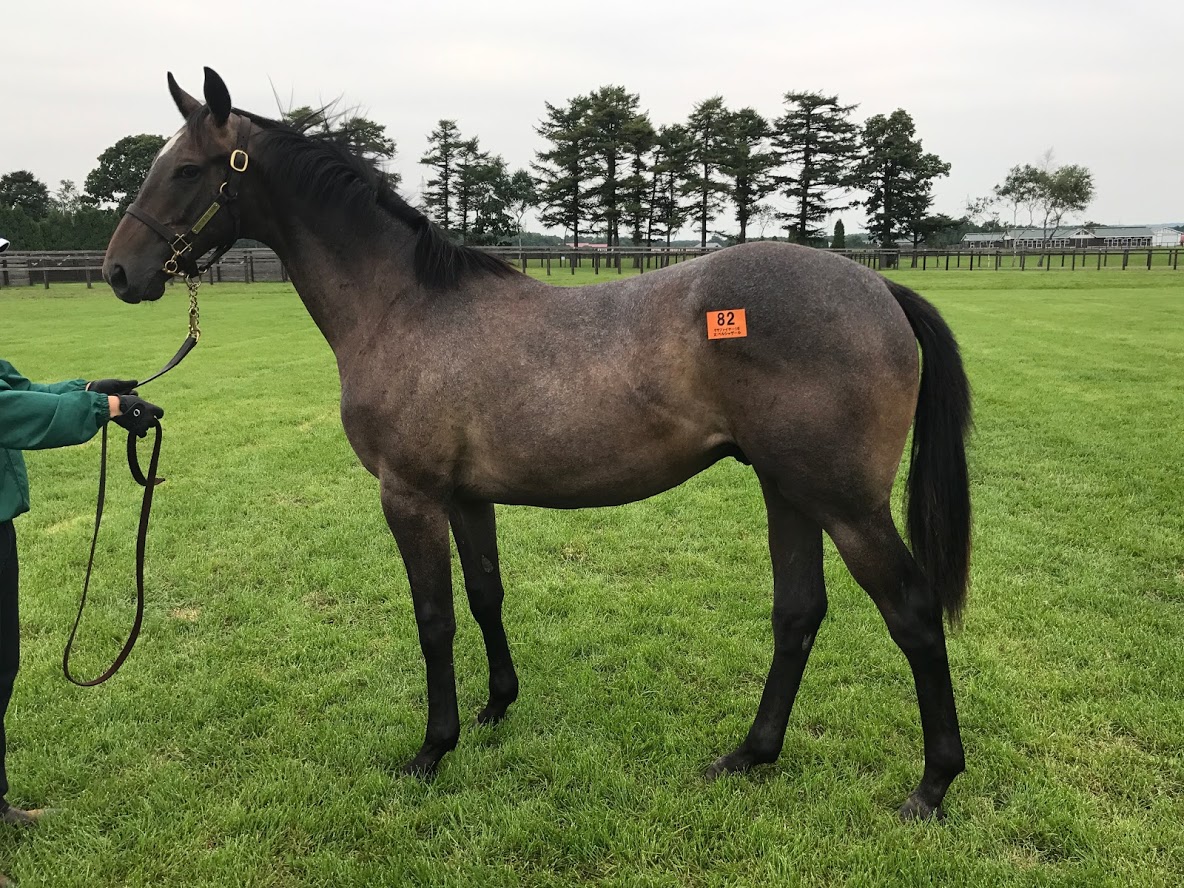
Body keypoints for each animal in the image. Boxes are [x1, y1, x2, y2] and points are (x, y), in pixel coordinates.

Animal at [102, 68, 972, 820]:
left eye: (186, 169)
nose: (118, 272)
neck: (405, 308)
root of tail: (877, 285)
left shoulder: (409, 495)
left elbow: (434, 618)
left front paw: (432, 749)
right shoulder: (466, 497)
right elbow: (486, 595)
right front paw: (495, 708)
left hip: (844, 503)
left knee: (912, 612)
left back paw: (932, 787)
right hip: (786, 488)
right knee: (798, 613)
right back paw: (748, 755)